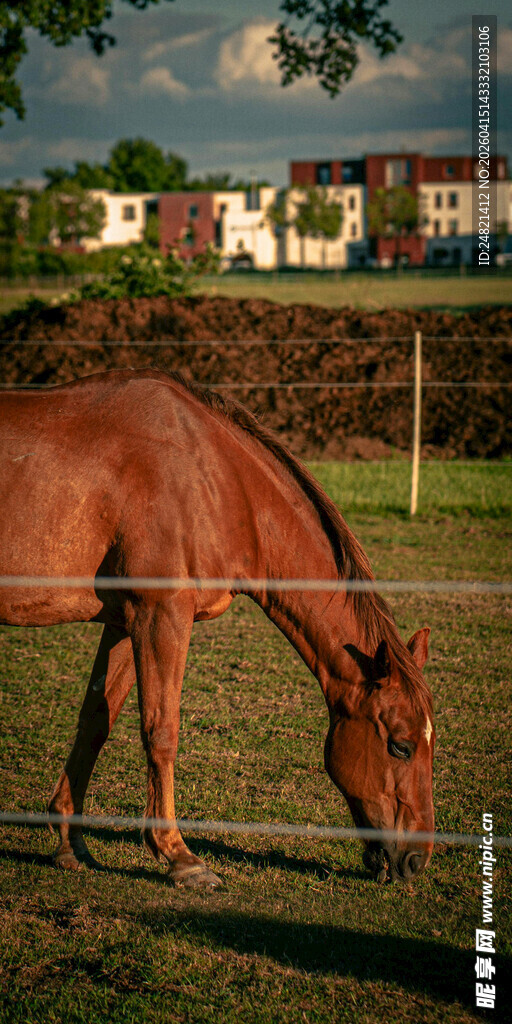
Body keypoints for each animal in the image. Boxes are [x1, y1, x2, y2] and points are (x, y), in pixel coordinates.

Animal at [0, 369, 434, 888]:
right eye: (401, 746)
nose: (417, 860)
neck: (212, 480)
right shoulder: (161, 615)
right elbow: (161, 729)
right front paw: (179, 856)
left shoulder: (124, 622)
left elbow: (95, 722)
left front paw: (70, 843)